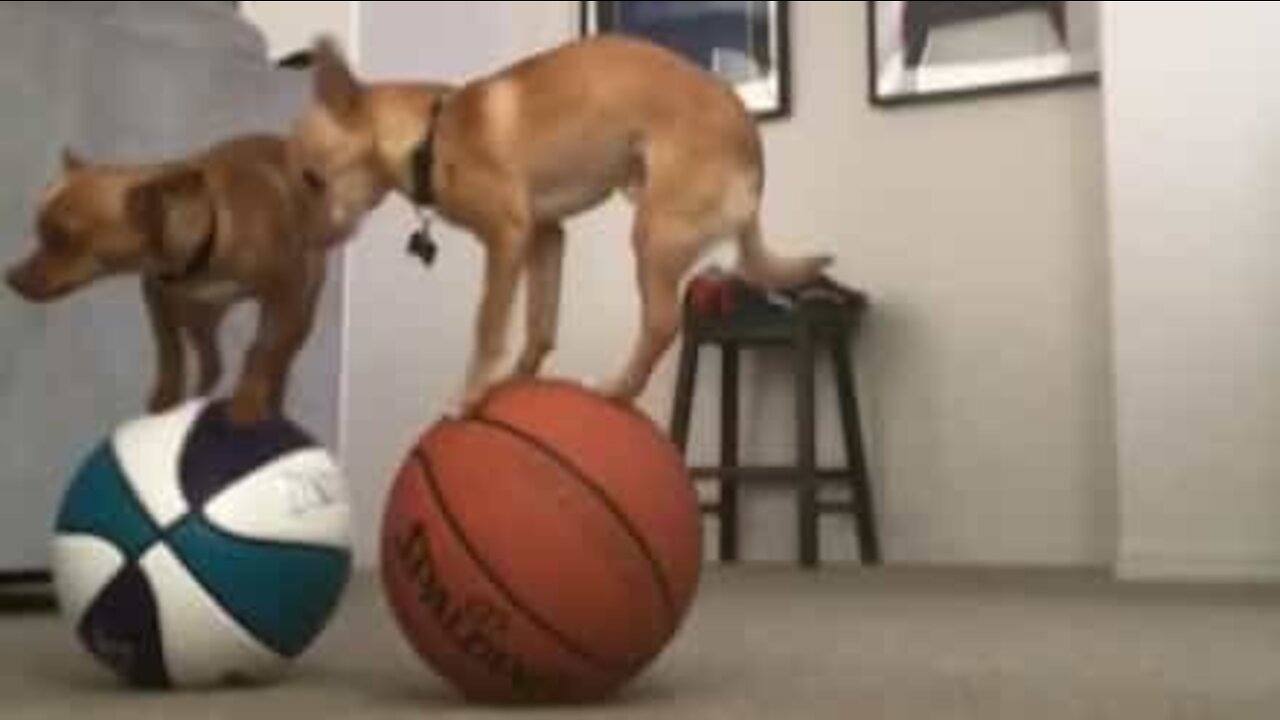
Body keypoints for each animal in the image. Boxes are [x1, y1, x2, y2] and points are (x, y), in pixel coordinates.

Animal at [3, 135, 340, 420]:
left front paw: (249, 400)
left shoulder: (284, 291)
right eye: (40, 233)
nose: (10, 278)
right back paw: (198, 394)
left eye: (63, 239)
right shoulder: (154, 294)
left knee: (279, 354)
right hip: (199, 316)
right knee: (211, 362)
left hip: (298, 314)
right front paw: (165, 398)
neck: (213, 234)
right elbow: (169, 350)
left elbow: (262, 349)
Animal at [289, 36, 829, 412]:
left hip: (652, 233)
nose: (299, 245)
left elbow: (487, 326)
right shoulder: (545, 236)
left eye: (312, 180)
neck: (432, 135)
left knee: (661, 323)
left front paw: (469, 395)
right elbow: (539, 326)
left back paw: (615, 391)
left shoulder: (507, 237)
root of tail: (752, 141)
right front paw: (514, 381)